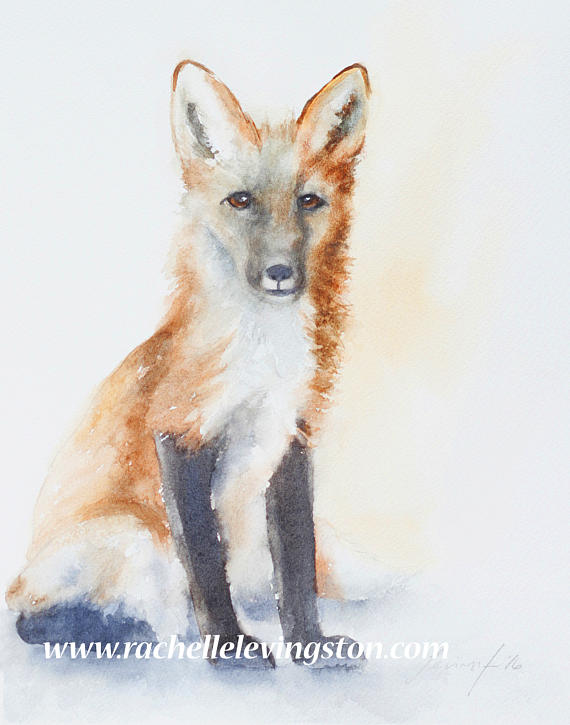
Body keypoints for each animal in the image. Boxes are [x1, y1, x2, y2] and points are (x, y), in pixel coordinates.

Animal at [6, 60, 371, 668]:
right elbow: (204, 560)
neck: (263, 359)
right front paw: (229, 646)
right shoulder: (180, 430)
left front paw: (308, 646)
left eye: (309, 201)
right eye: (241, 201)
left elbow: (296, 564)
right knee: (39, 622)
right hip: (134, 538)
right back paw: (127, 636)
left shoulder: (291, 439)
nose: (279, 273)